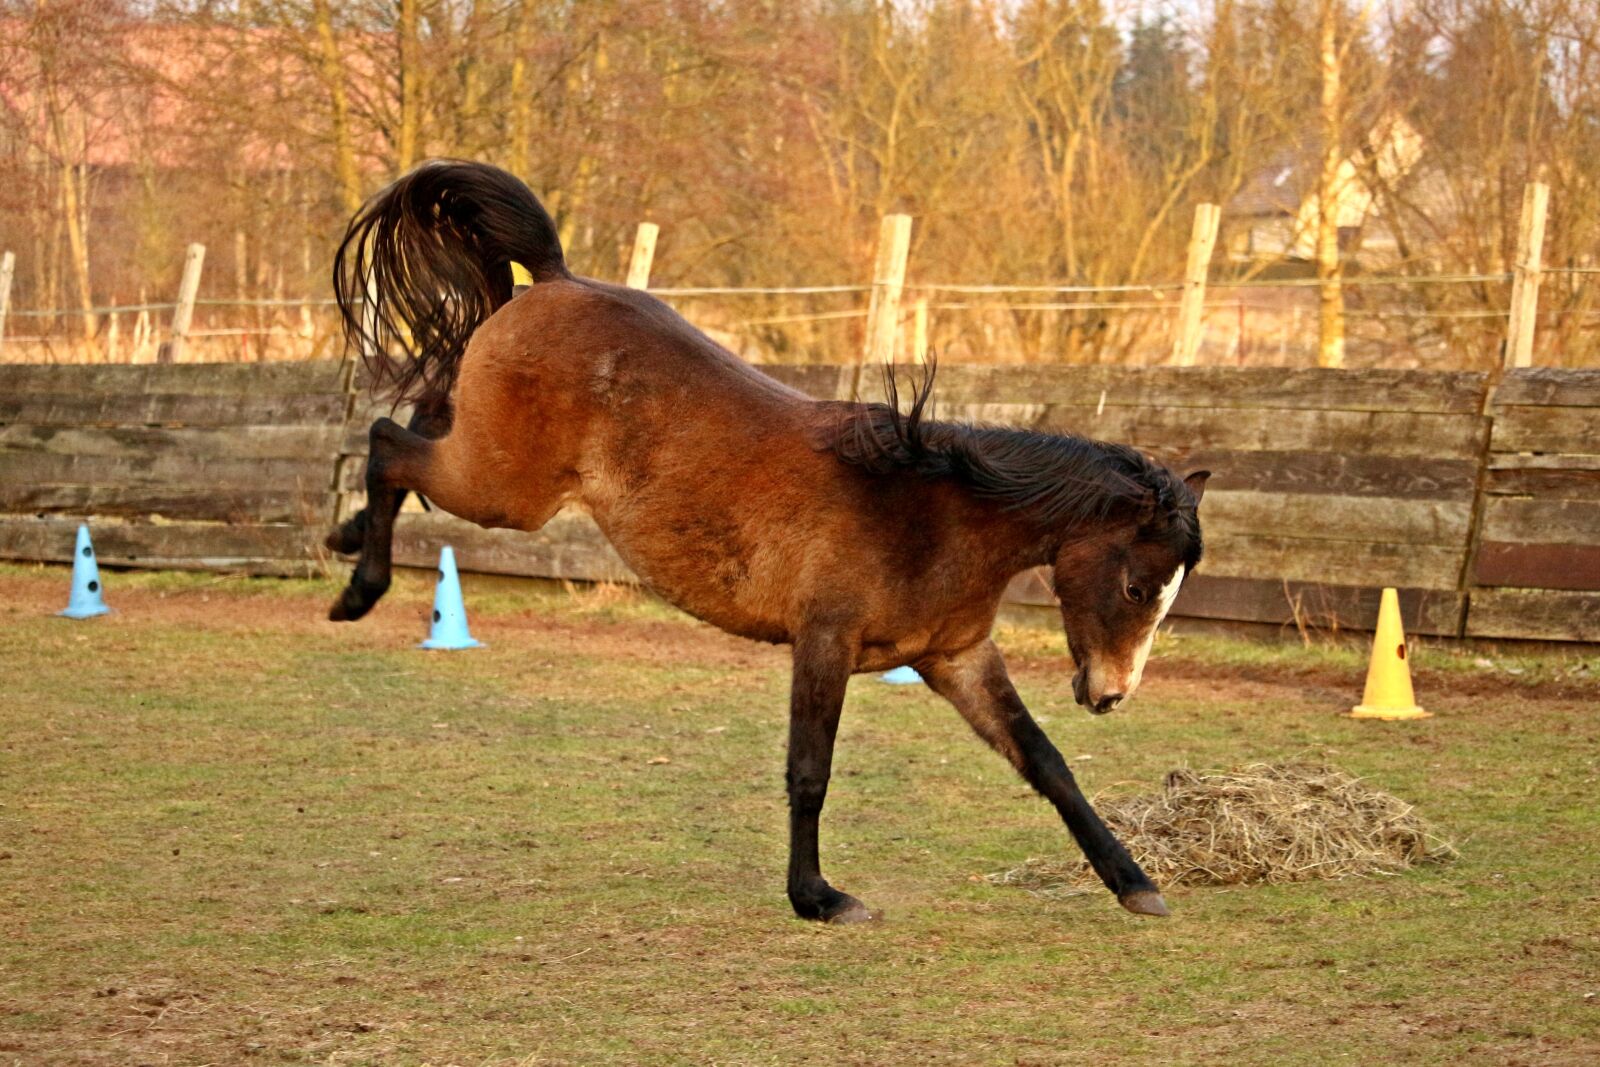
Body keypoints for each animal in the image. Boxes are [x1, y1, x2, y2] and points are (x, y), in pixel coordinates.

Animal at [326, 160, 1209, 924]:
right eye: (1137, 586)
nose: (1111, 694)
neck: (936, 511)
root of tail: (555, 279)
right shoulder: (824, 641)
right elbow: (809, 770)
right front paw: (818, 897)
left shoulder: (956, 658)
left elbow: (1046, 762)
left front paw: (1135, 882)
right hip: (506, 490)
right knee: (387, 441)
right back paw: (358, 590)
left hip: (493, 466)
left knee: (417, 420)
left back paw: (344, 537)